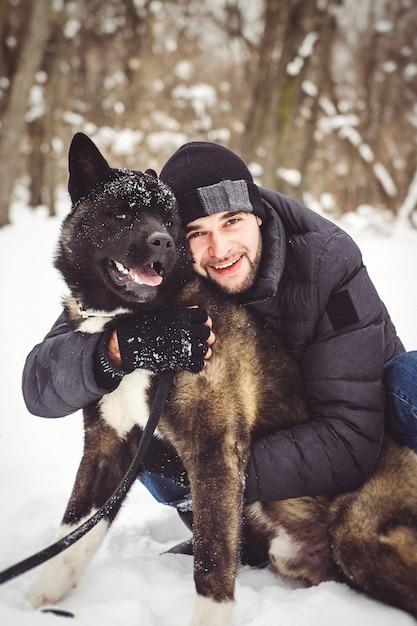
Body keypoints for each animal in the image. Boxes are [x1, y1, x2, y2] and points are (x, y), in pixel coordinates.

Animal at [25, 132, 416, 620]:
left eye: (169, 220)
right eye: (123, 213)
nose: (162, 243)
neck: (142, 321)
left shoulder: (212, 451)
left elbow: (211, 563)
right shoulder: (107, 444)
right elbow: (75, 532)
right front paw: (40, 596)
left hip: (358, 537)